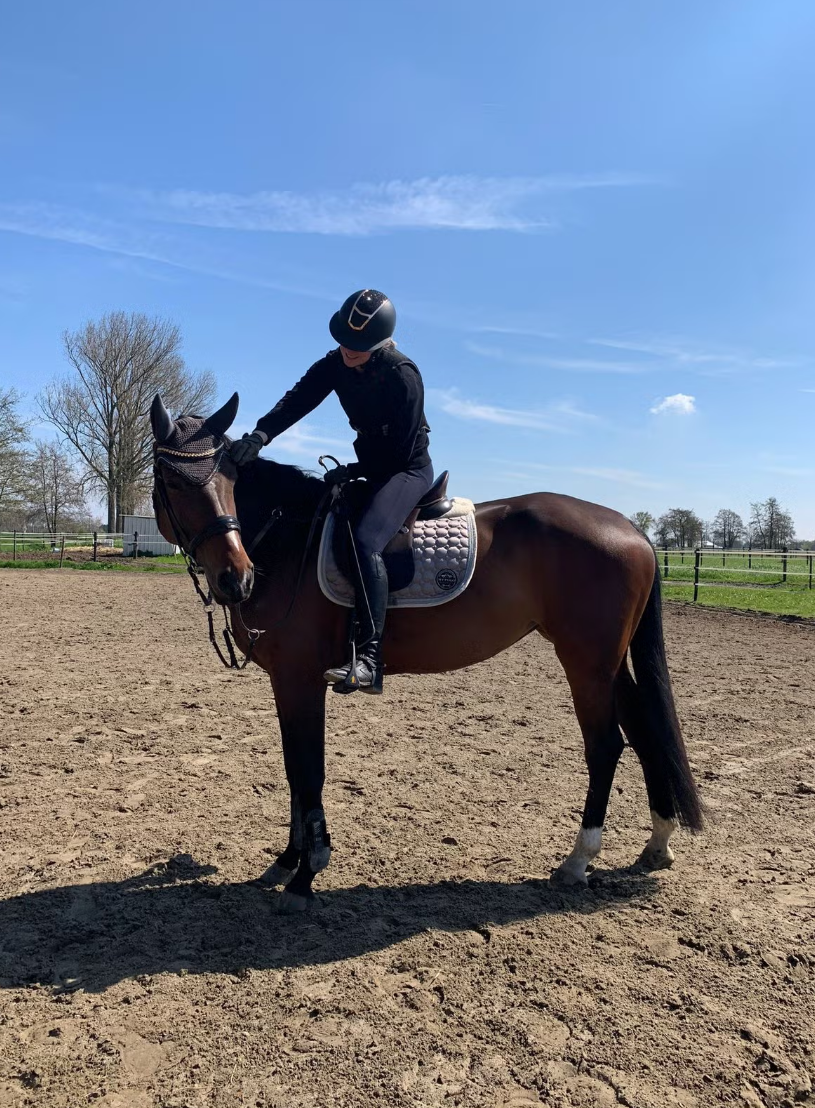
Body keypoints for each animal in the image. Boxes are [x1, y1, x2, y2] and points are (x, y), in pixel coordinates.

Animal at [151, 392, 703, 911]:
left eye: (229, 477)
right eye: (175, 482)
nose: (235, 578)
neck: (289, 542)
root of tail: (631, 529)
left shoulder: (300, 678)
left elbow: (309, 770)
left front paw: (307, 874)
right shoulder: (285, 681)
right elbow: (293, 769)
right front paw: (287, 861)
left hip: (585, 662)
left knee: (605, 745)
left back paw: (578, 860)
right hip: (608, 663)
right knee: (645, 731)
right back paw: (657, 843)